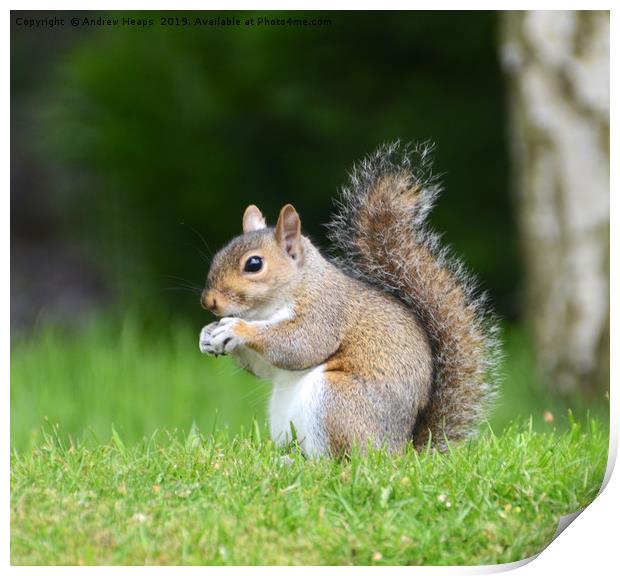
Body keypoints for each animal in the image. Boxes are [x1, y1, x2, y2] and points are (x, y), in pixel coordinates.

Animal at [199, 142, 498, 456]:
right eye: (219, 254)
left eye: (254, 264)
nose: (208, 302)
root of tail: (399, 450)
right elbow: (264, 367)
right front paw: (207, 334)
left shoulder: (326, 312)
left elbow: (300, 344)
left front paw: (237, 329)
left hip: (336, 401)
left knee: (339, 459)